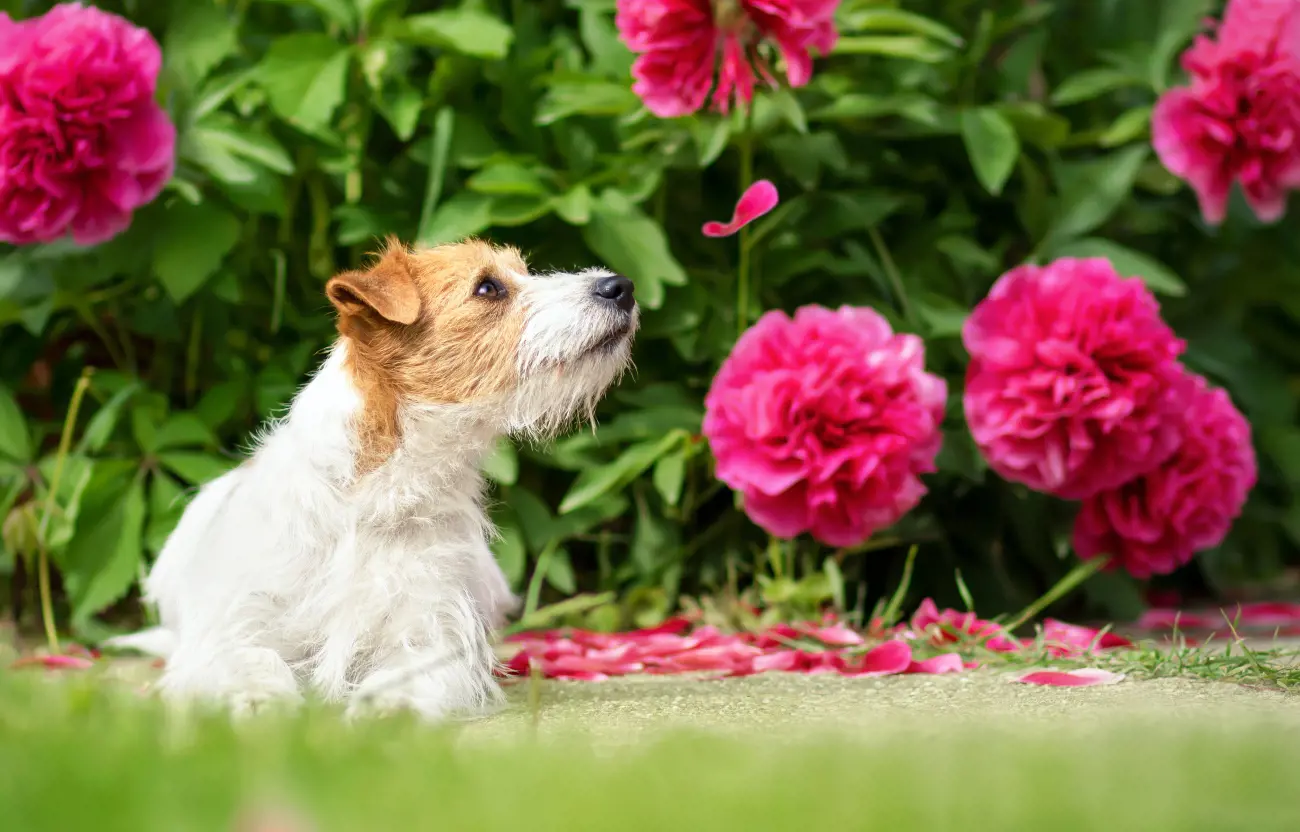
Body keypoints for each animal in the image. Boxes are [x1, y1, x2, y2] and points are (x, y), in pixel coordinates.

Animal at [109, 236, 637, 717]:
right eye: (488, 288)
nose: (621, 286)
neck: (371, 496)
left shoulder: (432, 631)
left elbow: (411, 671)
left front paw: (391, 708)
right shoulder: (234, 626)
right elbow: (250, 658)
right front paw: (256, 698)